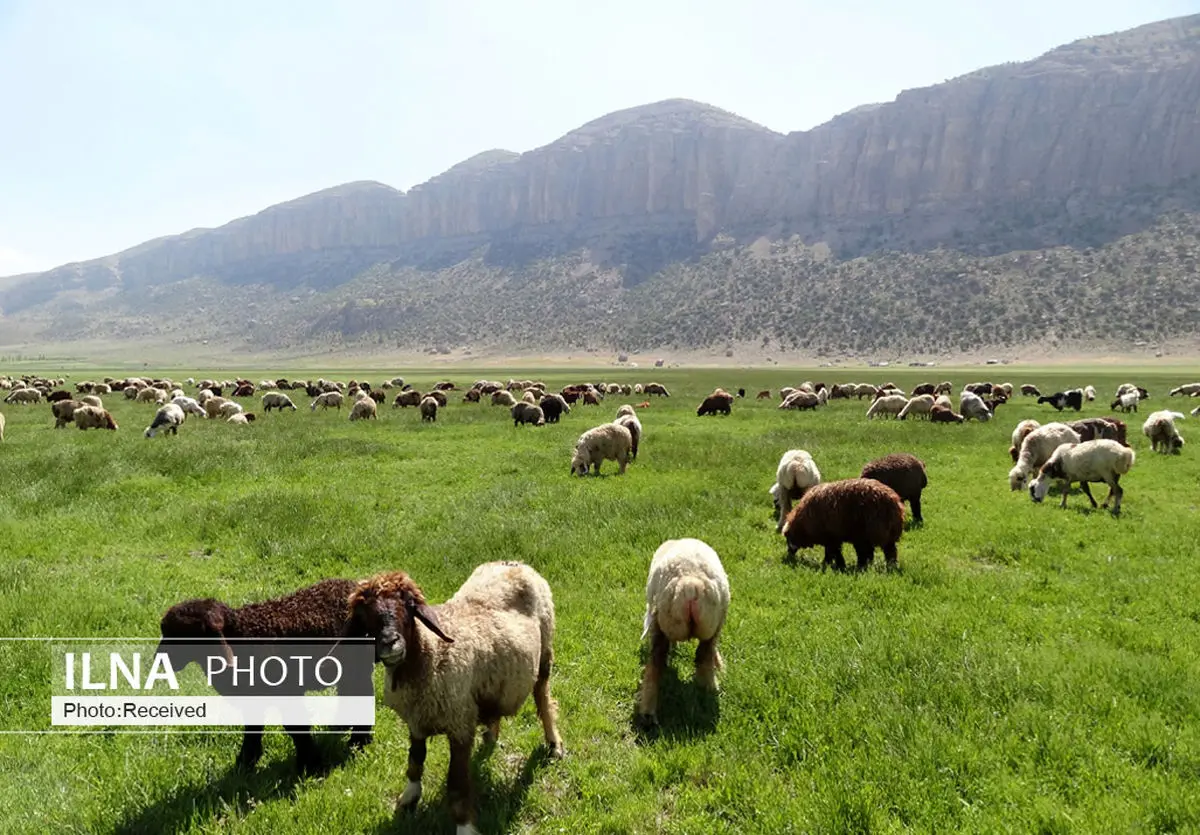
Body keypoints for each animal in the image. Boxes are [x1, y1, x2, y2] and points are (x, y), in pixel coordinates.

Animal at [350, 561, 564, 835]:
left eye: (408, 605)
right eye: (365, 614)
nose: (390, 643)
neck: (430, 654)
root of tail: (514, 563)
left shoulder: (459, 723)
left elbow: (457, 783)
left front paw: (464, 825)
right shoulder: (417, 721)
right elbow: (415, 760)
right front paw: (409, 797)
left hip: (545, 649)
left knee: (543, 698)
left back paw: (554, 743)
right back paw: (491, 733)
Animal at [638, 537, 729, 729]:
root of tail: (690, 584)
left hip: (661, 623)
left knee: (656, 663)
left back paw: (648, 713)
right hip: (713, 622)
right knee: (704, 655)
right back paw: (709, 688)